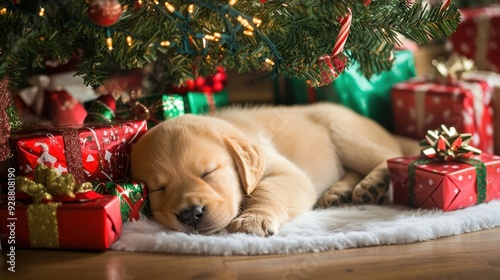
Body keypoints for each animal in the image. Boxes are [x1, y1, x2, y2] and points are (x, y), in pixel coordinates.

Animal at [131, 103, 420, 236]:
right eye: (157, 189)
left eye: (208, 173)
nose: (191, 214)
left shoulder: (285, 171)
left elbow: (268, 189)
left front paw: (253, 219)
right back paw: (340, 192)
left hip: (343, 131)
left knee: (386, 156)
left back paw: (373, 185)